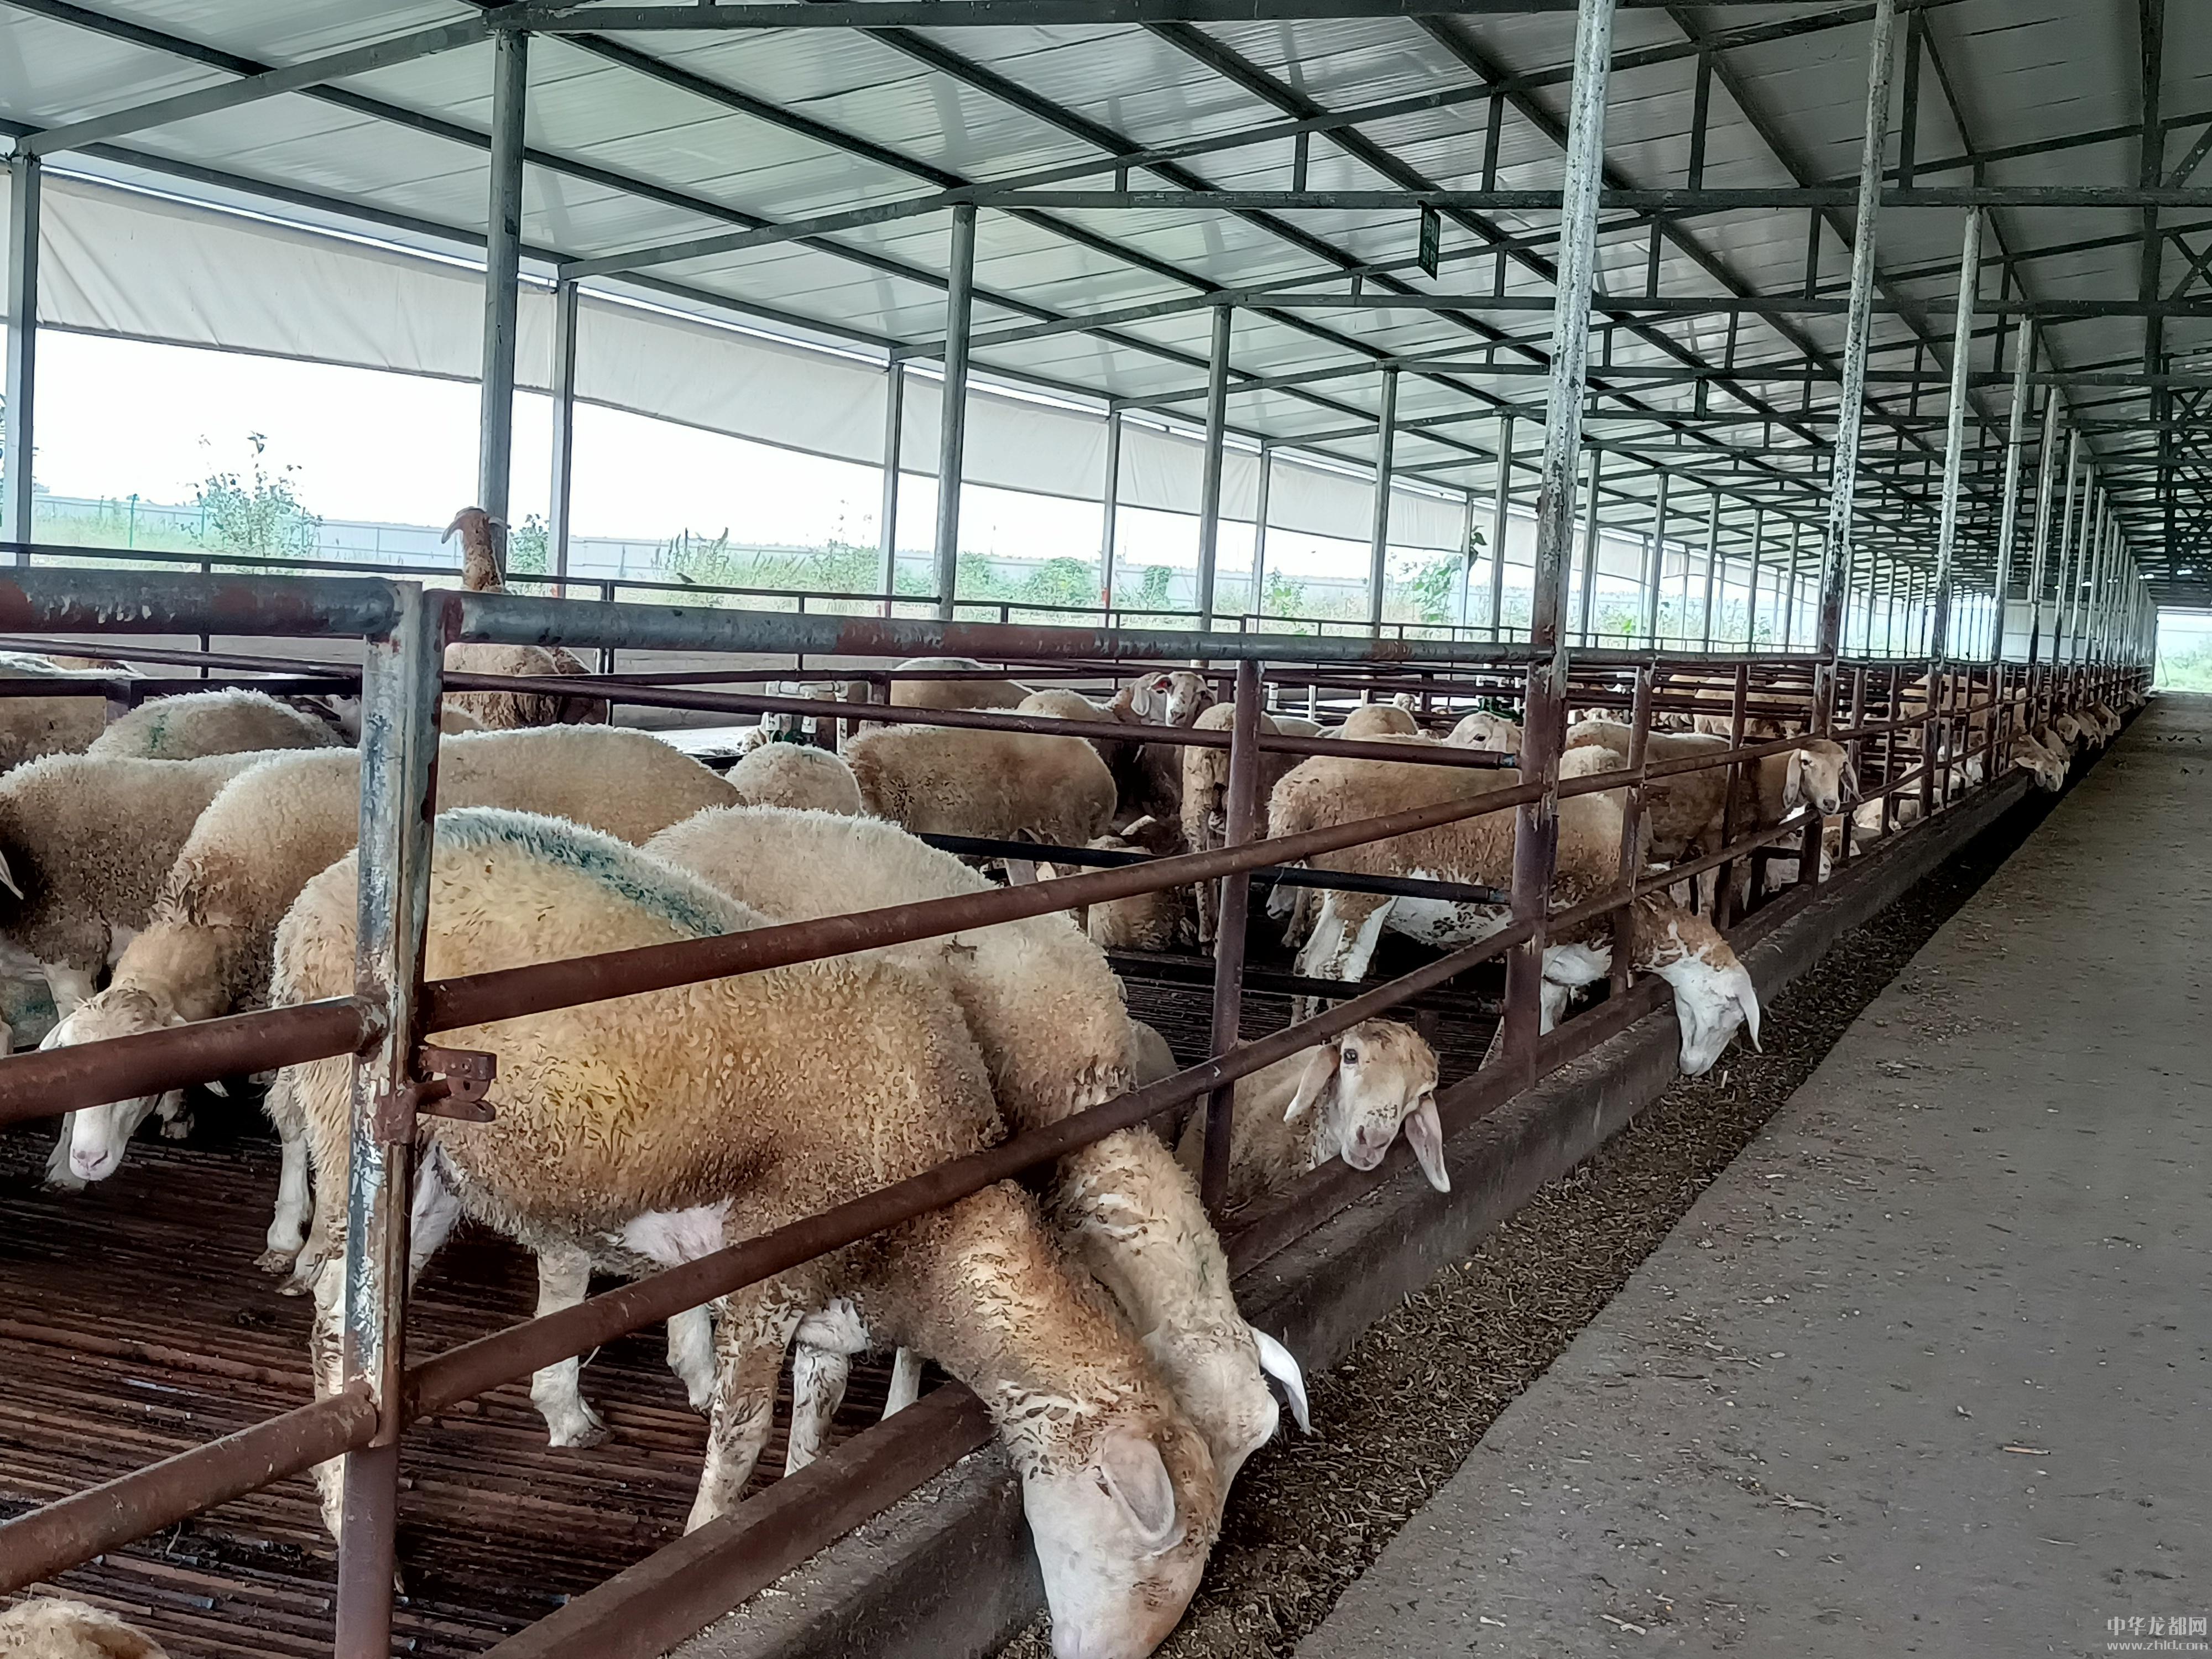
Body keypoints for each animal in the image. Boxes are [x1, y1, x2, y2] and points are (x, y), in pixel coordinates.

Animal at [43, 727, 743, 1271]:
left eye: (138, 1083)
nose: (88, 1159)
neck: (217, 908)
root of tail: (719, 787)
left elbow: (295, 1120)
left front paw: (296, 1237)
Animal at [276, 809, 1220, 1659]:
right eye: (1152, 1558)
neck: (935, 1216)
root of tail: (328, 887)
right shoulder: (768, 1274)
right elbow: (741, 1437)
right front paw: (705, 1538)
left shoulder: (832, 1311)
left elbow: (815, 1430)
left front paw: (797, 1502)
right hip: (356, 1127)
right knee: (335, 1323)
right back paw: (354, 1524)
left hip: (443, 1170)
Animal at [1268, 748, 1760, 1075]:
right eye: (1732, 1015)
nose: (1694, 1069)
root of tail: (1294, 797)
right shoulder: (1549, 949)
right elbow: (1527, 1022)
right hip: (1368, 891)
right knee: (1340, 974)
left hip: (1337, 891)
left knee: (1309, 963)